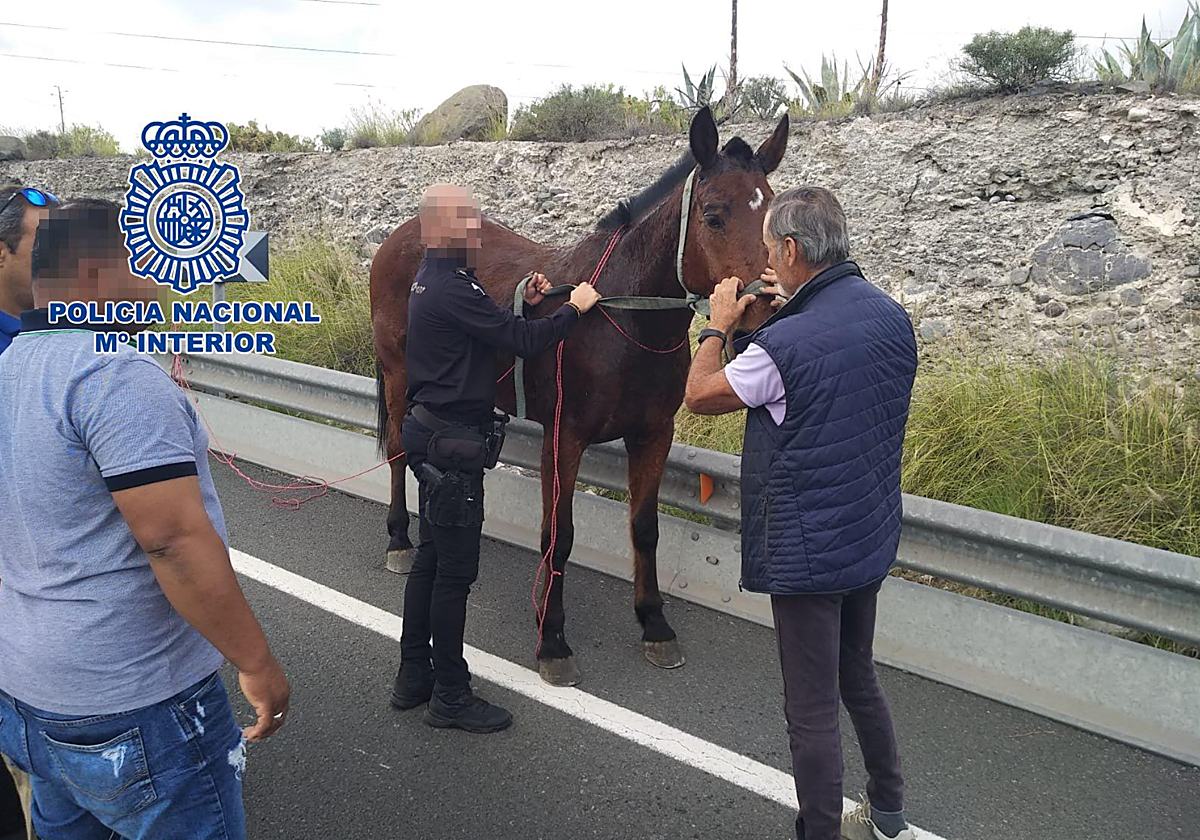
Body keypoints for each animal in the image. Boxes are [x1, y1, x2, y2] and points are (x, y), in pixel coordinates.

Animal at [370, 106, 789, 685]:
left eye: (770, 211)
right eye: (713, 215)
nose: (764, 310)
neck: (620, 315)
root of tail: (401, 238)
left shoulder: (653, 437)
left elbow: (644, 528)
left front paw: (654, 623)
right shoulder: (563, 439)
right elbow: (559, 534)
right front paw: (552, 638)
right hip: (398, 375)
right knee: (397, 451)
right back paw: (397, 538)